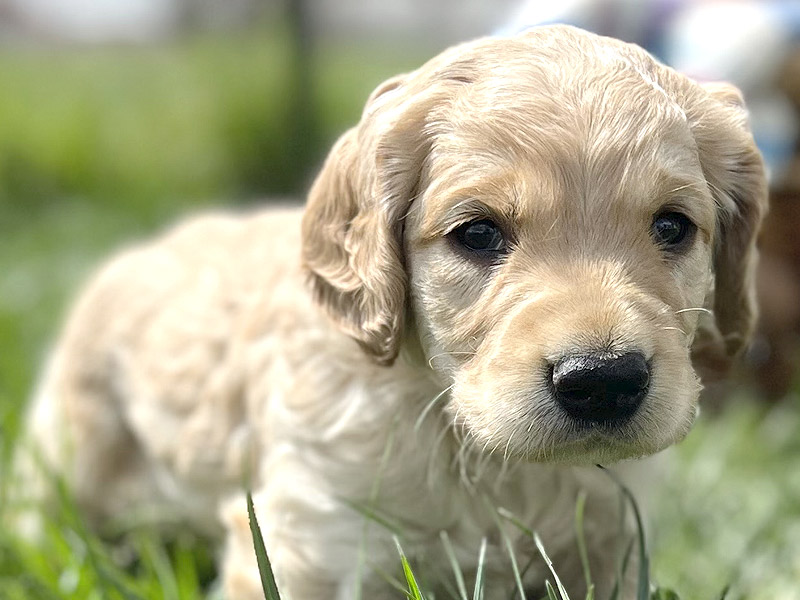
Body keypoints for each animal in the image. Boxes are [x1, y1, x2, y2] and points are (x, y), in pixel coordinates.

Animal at [18, 25, 764, 600]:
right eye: (478, 233)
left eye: (672, 227)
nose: (604, 378)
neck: (479, 456)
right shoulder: (311, 536)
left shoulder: (611, 542)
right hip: (69, 463)